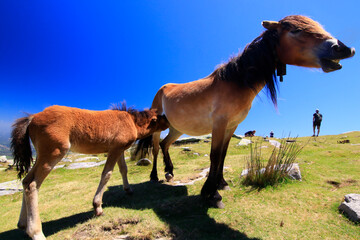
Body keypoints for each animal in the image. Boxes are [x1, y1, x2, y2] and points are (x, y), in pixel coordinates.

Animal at [10, 105, 169, 240]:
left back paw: (22, 224)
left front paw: (128, 189)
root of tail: (32, 117)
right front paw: (97, 207)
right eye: (159, 118)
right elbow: (107, 174)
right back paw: (36, 232)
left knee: (25, 181)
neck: (131, 121)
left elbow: (124, 169)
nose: (168, 120)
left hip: (42, 156)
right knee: (32, 185)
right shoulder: (115, 149)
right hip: (53, 154)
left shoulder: (120, 149)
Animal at [135, 15, 354, 207]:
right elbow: (214, 155)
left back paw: (169, 172)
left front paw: (221, 184)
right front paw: (211, 194)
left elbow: (223, 155)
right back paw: (155, 176)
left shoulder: (232, 126)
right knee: (156, 147)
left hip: (177, 128)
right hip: (158, 127)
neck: (236, 81)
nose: (344, 48)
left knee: (165, 144)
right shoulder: (219, 123)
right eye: (296, 30)